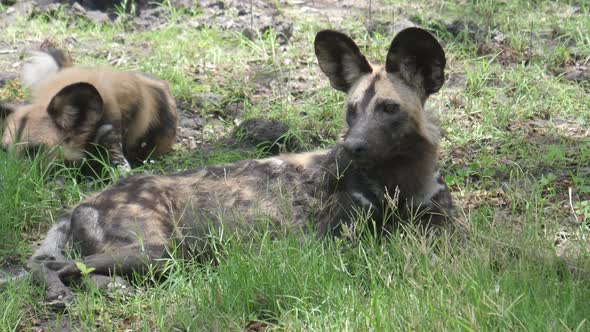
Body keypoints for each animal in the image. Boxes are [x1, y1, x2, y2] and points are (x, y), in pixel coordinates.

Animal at [27, 27, 456, 304]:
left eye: (388, 108)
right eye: (352, 110)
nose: (351, 147)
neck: (402, 179)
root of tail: (84, 203)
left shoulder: (444, 229)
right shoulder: (338, 243)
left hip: (155, 255)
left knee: (77, 269)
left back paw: (110, 288)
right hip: (158, 250)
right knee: (51, 267)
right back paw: (59, 292)